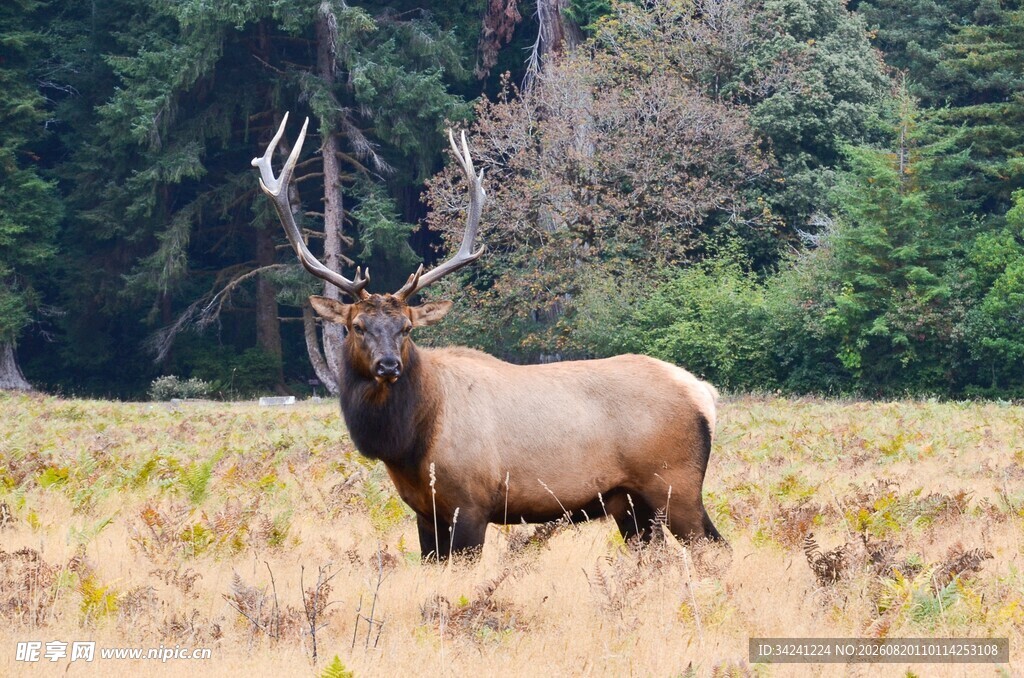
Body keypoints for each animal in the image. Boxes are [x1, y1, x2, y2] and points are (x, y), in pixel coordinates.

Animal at [253, 113, 724, 560]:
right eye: (356, 326)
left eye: (407, 328)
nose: (389, 365)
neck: (410, 443)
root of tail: (703, 393)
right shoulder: (424, 511)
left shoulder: (471, 504)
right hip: (629, 503)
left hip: (675, 483)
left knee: (715, 548)